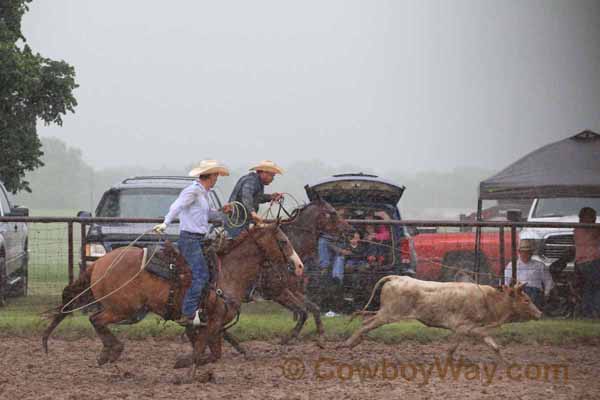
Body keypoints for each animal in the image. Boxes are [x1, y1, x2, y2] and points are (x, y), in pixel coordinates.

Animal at [42, 223, 302, 370]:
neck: (227, 272)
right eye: (283, 241)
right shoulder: (213, 321)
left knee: (96, 319)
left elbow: (212, 352)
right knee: (96, 319)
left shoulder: (211, 324)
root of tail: (99, 263)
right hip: (124, 309)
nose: (299, 267)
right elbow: (204, 350)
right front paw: (183, 363)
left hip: (129, 311)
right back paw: (111, 351)